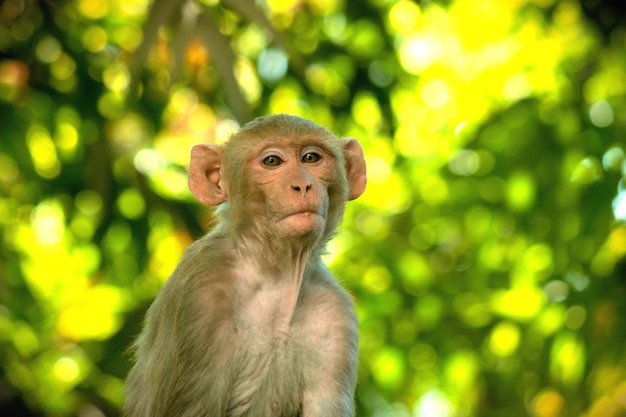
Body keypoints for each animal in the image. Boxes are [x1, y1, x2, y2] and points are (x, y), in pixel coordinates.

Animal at [122, 114, 366, 416]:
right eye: (272, 161)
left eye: (311, 158)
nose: (302, 185)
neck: (274, 275)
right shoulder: (201, 289)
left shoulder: (335, 313)